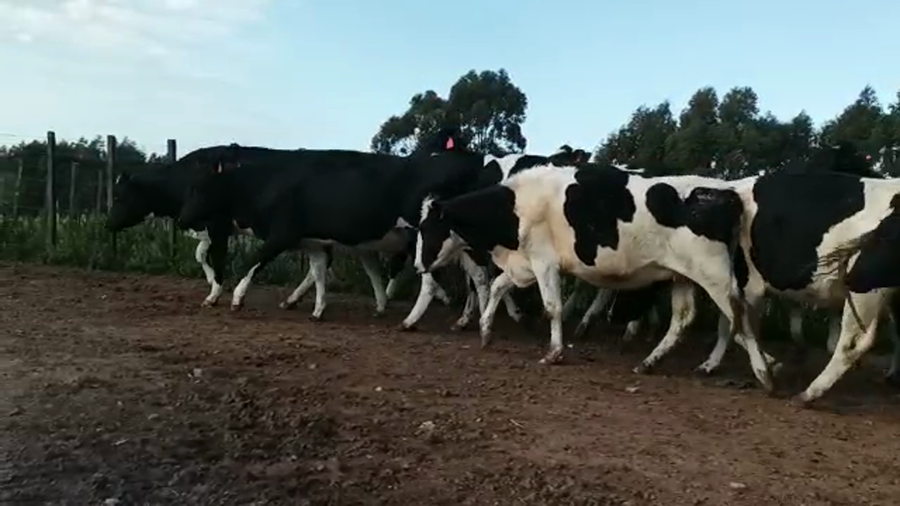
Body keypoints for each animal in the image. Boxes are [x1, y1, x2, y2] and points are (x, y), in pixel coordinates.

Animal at [415, 162, 776, 392]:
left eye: (428, 229)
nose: (419, 265)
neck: (516, 206)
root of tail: (727, 192)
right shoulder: (526, 263)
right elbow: (499, 287)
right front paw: (486, 331)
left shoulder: (544, 262)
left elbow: (552, 307)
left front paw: (554, 352)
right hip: (682, 275)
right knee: (684, 319)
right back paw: (649, 362)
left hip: (715, 275)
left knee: (739, 316)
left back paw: (764, 374)